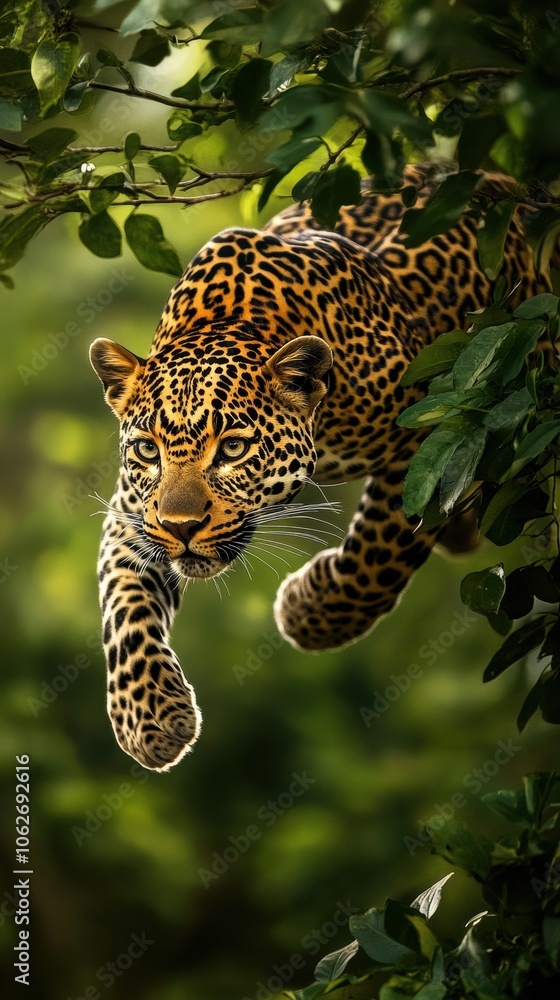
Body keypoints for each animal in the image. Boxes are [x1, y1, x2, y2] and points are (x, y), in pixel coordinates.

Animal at [89, 162, 551, 772]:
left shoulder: (430, 429)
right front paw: (149, 716)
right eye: (148, 451)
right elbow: (125, 601)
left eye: (231, 449)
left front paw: (310, 617)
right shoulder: (134, 509)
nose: (182, 528)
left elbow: (380, 553)